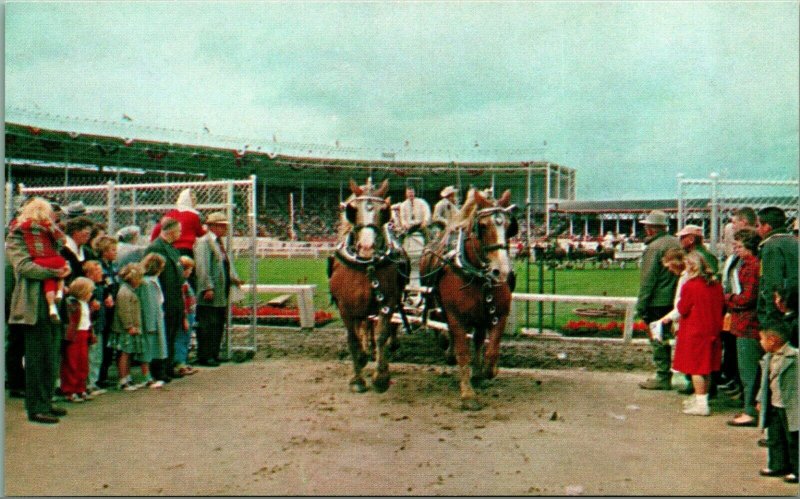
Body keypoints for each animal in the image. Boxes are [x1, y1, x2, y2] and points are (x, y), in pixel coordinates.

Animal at [328, 180, 410, 394]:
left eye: (384, 211)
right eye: (353, 209)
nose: (367, 248)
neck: (365, 266)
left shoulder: (387, 302)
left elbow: (382, 334)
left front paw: (381, 377)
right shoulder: (345, 307)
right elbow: (353, 339)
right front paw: (357, 378)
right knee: (364, 326)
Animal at [418, 188, 520, 410]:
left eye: (510, 226)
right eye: (482, 226)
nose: (502, 272)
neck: (478, 276)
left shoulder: (499, 314)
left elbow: (491, 349)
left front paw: (487, 371)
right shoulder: (455, 316)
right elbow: (463, 351)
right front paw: (467, 394)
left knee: (479, 338)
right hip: (438, 303)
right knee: (444, 327)